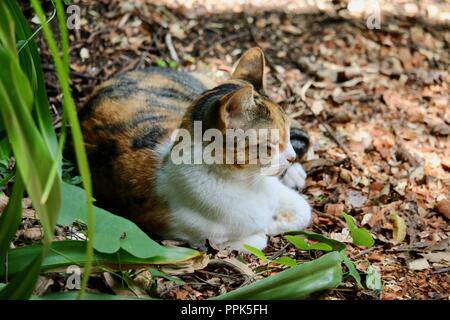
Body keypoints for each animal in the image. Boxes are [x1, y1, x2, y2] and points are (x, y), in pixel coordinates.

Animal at [79, 47, 310, 250]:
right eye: (270, 144)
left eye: (287, 132)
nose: (290, 157)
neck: (246, 183)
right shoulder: (165, 224)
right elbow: (251, 240)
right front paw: (262, 229)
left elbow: (304, 211)